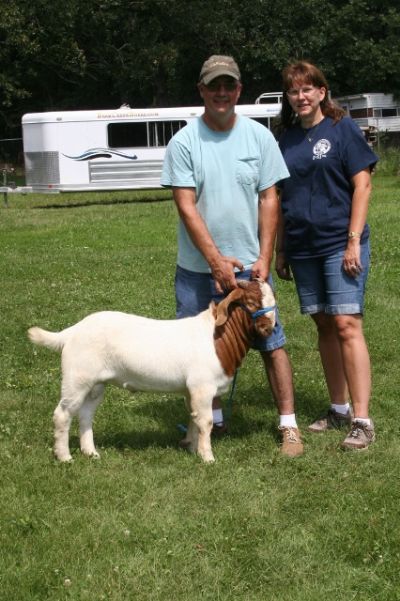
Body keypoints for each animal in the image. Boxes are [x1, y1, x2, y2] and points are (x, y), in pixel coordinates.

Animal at [25, 278, 276, 462]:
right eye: (251, 302)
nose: (269, 328)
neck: (217, 338)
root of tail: (72, 331)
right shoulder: (202, 387)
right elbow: (205, 421)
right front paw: (207, 457)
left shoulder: (190, 390)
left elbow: (193, 418)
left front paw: (192, 448)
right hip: (77, 377)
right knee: (62, 414)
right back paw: (64, 457)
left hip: (95, 384)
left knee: (86, 414)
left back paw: (91, 452)